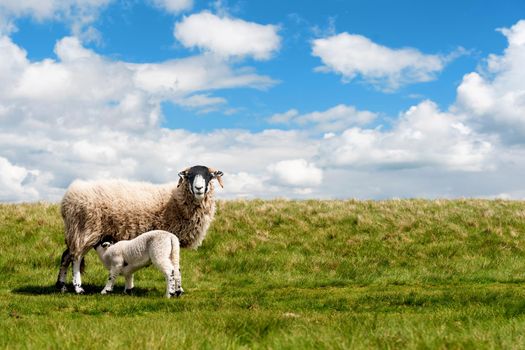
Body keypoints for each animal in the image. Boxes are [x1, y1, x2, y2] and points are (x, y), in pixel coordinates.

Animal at [55, 165, 223, 294]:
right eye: (189, 176)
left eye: (209, 176)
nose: (199, 188)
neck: (177, 199)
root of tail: (68, 196)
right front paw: (176, 289)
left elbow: (176, 265)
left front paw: (178, 289)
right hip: (85, 229)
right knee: (76, 258)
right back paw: (78, 288)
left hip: (77, 231)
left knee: (66, 256)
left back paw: (62, 286)